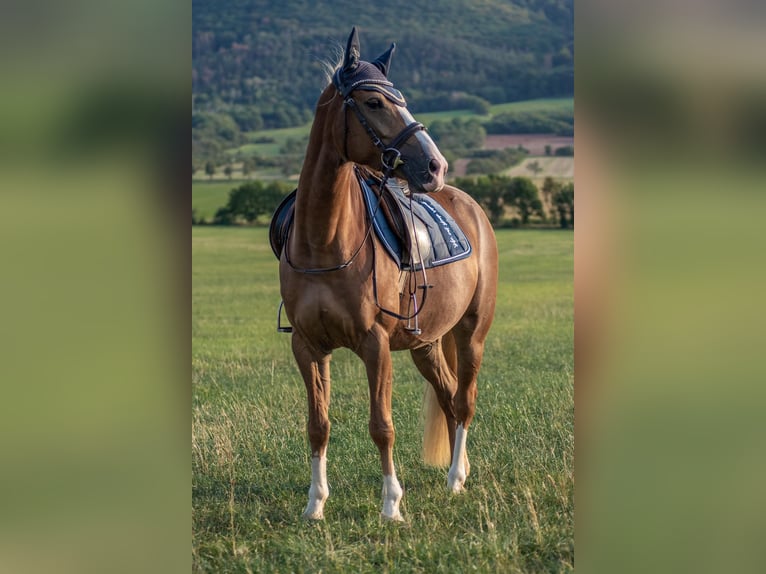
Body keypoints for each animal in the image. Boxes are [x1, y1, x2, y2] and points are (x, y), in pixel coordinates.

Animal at [280, 28, 500, 520]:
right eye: (375, 102)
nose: (435, 166)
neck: (324, 241)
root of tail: (470, 205)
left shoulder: (374, 344)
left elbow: (382, 425)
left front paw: (391, 506)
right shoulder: (307, 346)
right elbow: (317, 424)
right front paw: (314, 505)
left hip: (471, 332)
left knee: (465, 401)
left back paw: (455, 479)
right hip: (427, 343)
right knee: (449, 397)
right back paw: (460, 471)